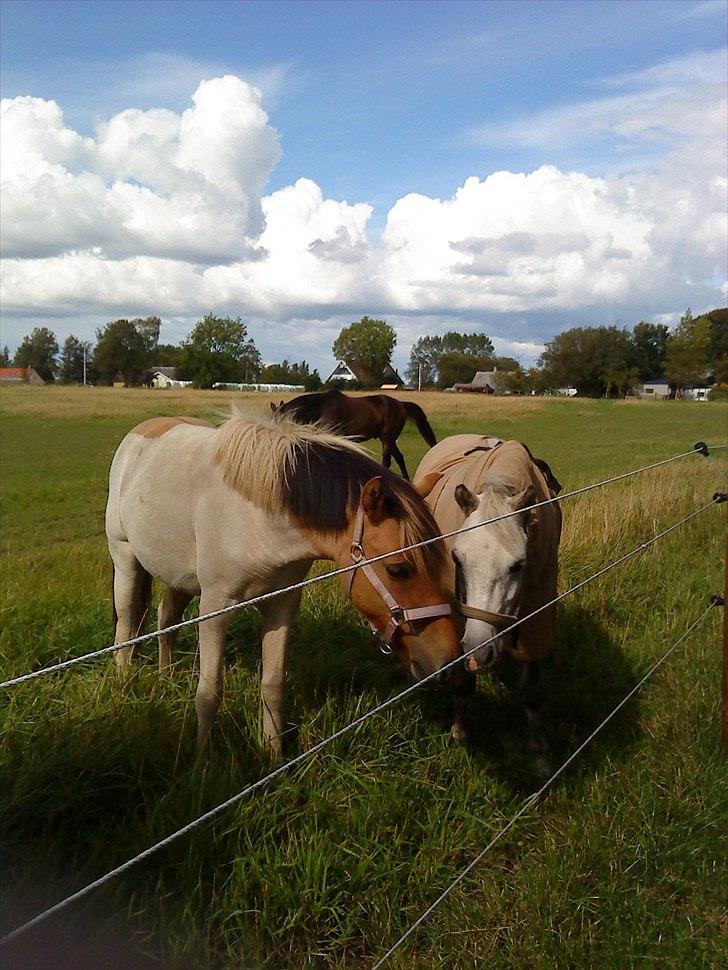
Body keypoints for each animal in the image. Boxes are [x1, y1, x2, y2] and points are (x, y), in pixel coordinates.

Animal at [106, 408, 472, 756]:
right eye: (398, 570)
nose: (448, 663)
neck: (258, 518)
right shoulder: (215, 609)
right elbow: (209, 693)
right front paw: (202, 761)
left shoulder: (281, 604)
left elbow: (273, 686)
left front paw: (272, 754)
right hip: (125, 558)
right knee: (127, 619)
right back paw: (123, 681)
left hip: (180, 577)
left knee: (166, 617)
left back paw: (165, 676)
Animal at [270, 386, 436, 476]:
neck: (322, 408)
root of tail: (401, 405)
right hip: (388, 439)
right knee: (399, 458)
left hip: (387, 439)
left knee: (387, 461)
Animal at [416, 434, 564, 760]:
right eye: (456, 559)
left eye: (518, 565)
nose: (479, 650)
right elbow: (463, 681)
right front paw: (460, 730)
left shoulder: (538, 608)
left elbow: (532, 690)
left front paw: (538, 746)